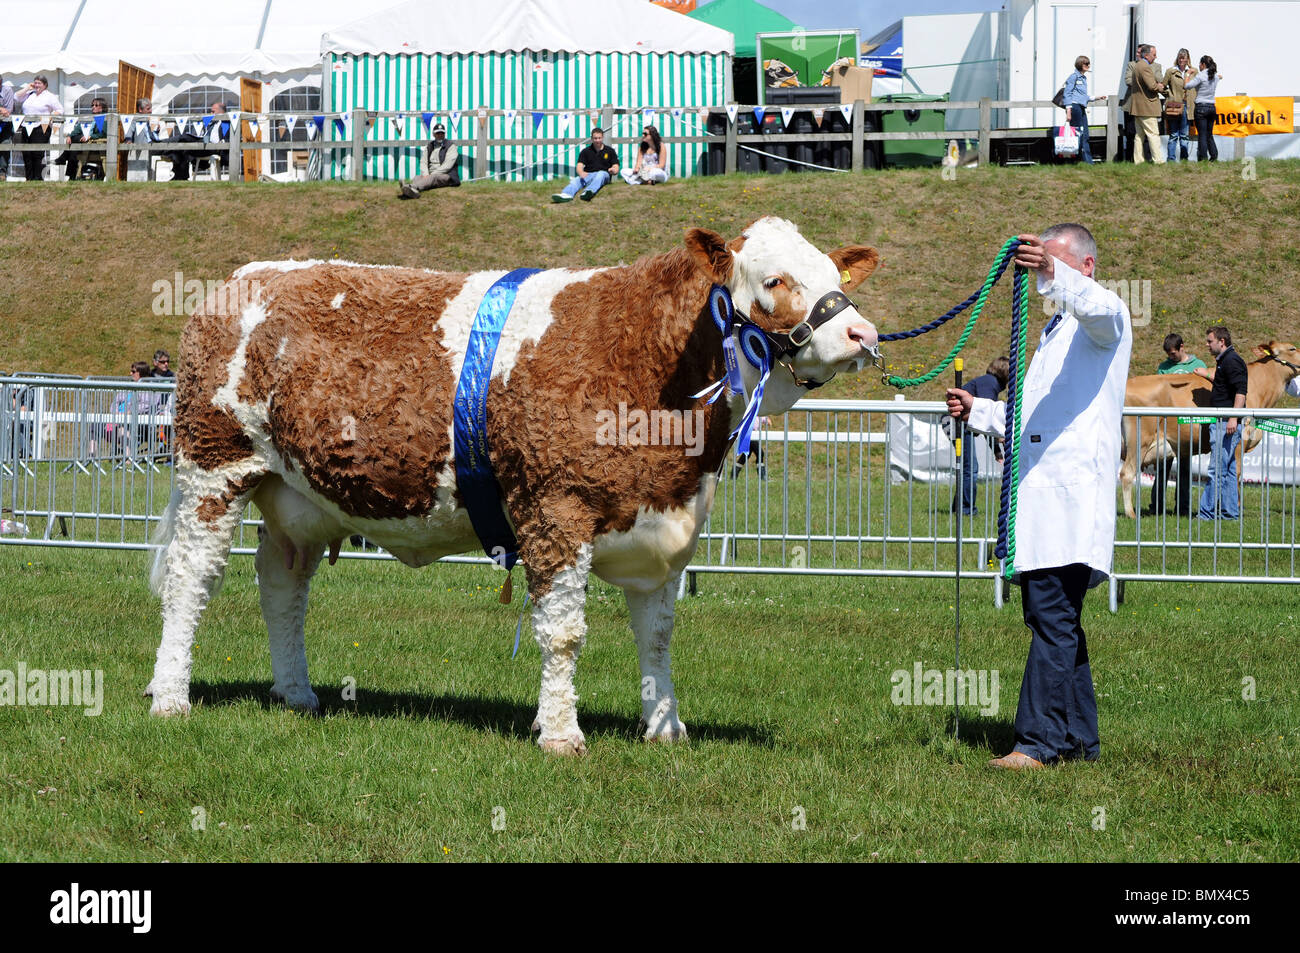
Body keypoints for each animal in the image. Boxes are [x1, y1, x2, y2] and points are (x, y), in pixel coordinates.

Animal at [146, 217, 883, 755]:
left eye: (830, 271)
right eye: (775, 278)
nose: (862, 332)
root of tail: (244, 278)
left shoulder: (663, 524)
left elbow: (658, 634)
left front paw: (666, 727)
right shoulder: (555, 508)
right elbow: (563, 633)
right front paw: (560, 733)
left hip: (294, 494)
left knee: (283, 582)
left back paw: (296, 691)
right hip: (215, 464)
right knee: (192, 578)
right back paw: (170, 696)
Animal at [1119, 340, 1300, 518]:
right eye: (1292, 348)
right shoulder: (1238, 442)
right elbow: (1235, 474)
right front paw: (1234, 510)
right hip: (1139, 440)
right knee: (1127, 473)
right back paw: (1131, 514)